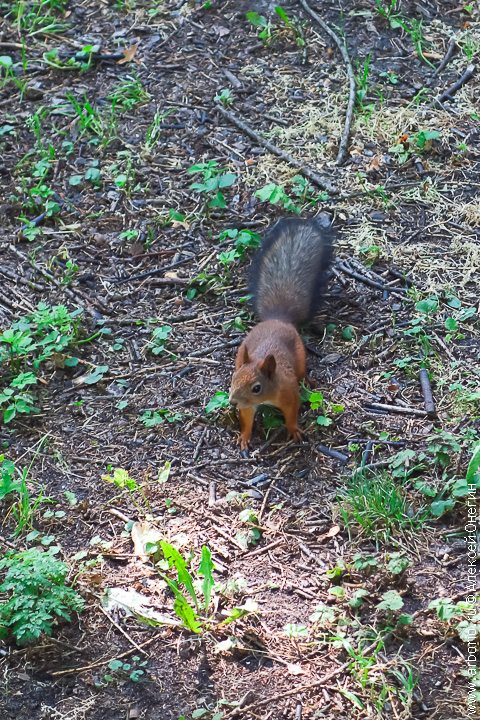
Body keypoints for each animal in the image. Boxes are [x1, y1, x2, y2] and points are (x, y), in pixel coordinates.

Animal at [229, 217, 334, 448]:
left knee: (302, 372)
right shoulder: (247, 406)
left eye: (256, 388)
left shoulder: (289, 394)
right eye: (234, 378)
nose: (232, 401)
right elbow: (246, 419)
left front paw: (294, 430)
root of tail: (278, 319)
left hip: (301, 357)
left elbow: (292, 413)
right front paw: (244, 437)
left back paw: (308, 381)